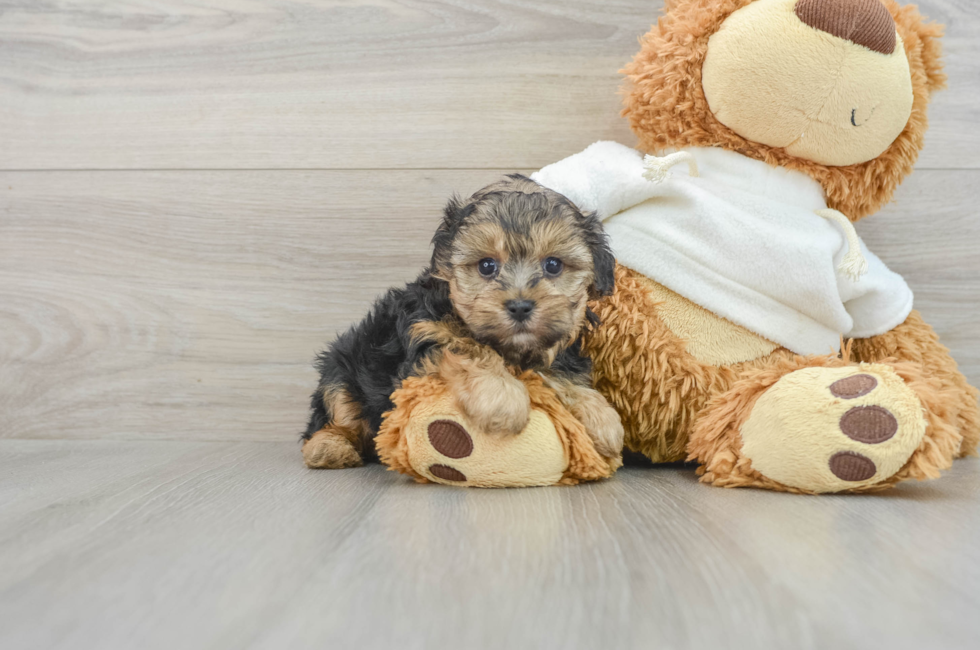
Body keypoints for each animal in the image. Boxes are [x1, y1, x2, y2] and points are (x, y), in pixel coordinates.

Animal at [302, 175, 624, 468]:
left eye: (554, 265)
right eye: (486, 266)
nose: (520, 306)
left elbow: (562, 373)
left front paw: (602, 417)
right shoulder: (425, 334)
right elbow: (465, 347)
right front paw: (502, 397)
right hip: (341, 370)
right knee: (334, 414)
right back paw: (329, 447)